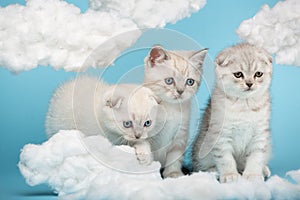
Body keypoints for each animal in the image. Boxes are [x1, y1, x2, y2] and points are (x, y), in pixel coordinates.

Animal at [144, 45, 207, 178]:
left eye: (190, 82)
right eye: (169, 81)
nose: (180, 91)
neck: (170, 108)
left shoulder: (180, 134)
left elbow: (175, 156)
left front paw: (173, 174)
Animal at [192, 43, 272, 183]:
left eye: (258, 74)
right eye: (238, 74)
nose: (249, 83)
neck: (244, 105)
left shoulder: (260, 135)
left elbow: (256, 157)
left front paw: (253, 175)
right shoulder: (220, 135)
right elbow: (226, 159)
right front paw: (230, 175)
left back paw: (264, 169)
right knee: (201, 166)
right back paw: (213, 172)